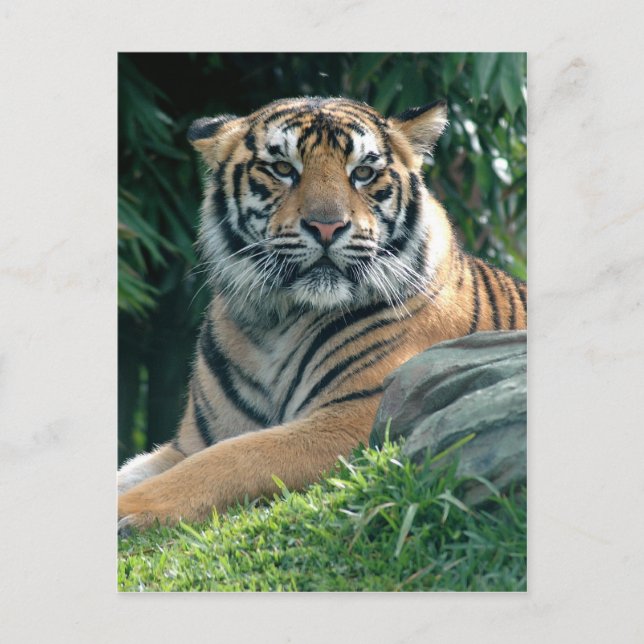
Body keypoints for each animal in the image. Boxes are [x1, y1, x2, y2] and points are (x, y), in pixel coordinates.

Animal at [117, 96, 527, 531]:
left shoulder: (360, 416)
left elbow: (231, 458)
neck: (273, 323)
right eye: (283, 169)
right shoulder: (190, 442)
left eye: (363, 173)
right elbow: (134, 468)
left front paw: (127, 510)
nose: (327, 227)